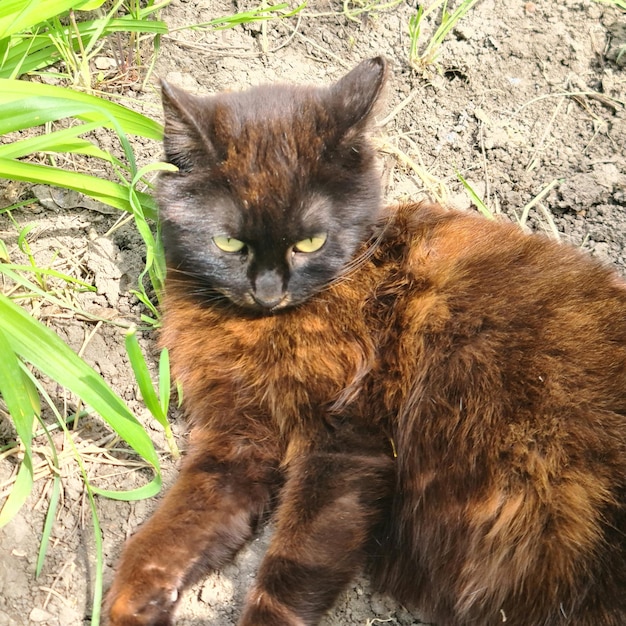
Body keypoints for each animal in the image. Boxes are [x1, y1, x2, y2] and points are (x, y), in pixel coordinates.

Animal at [105, 56, 624, 620]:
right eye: (229, 243)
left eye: (311, 242)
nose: (267, 291)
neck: (261, 329)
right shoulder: (237, 436)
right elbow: (177, 523)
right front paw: (133, 601)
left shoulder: (347, 445)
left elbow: (292, 570)